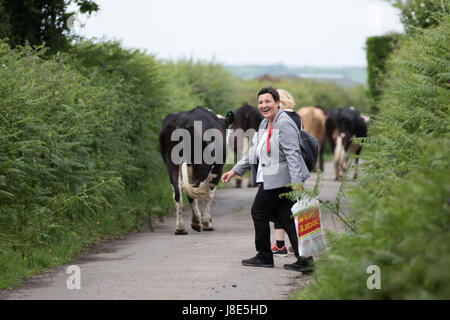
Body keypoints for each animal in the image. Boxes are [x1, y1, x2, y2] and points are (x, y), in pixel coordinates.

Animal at [159, 106, 229, 234]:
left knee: (177, 193)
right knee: (192, 192)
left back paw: (180, 228)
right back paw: (196, 222)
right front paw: (207, 223)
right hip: (203, 167)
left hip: (171, 165)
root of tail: (183, 119)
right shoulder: (217, 170)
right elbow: (209, 195)